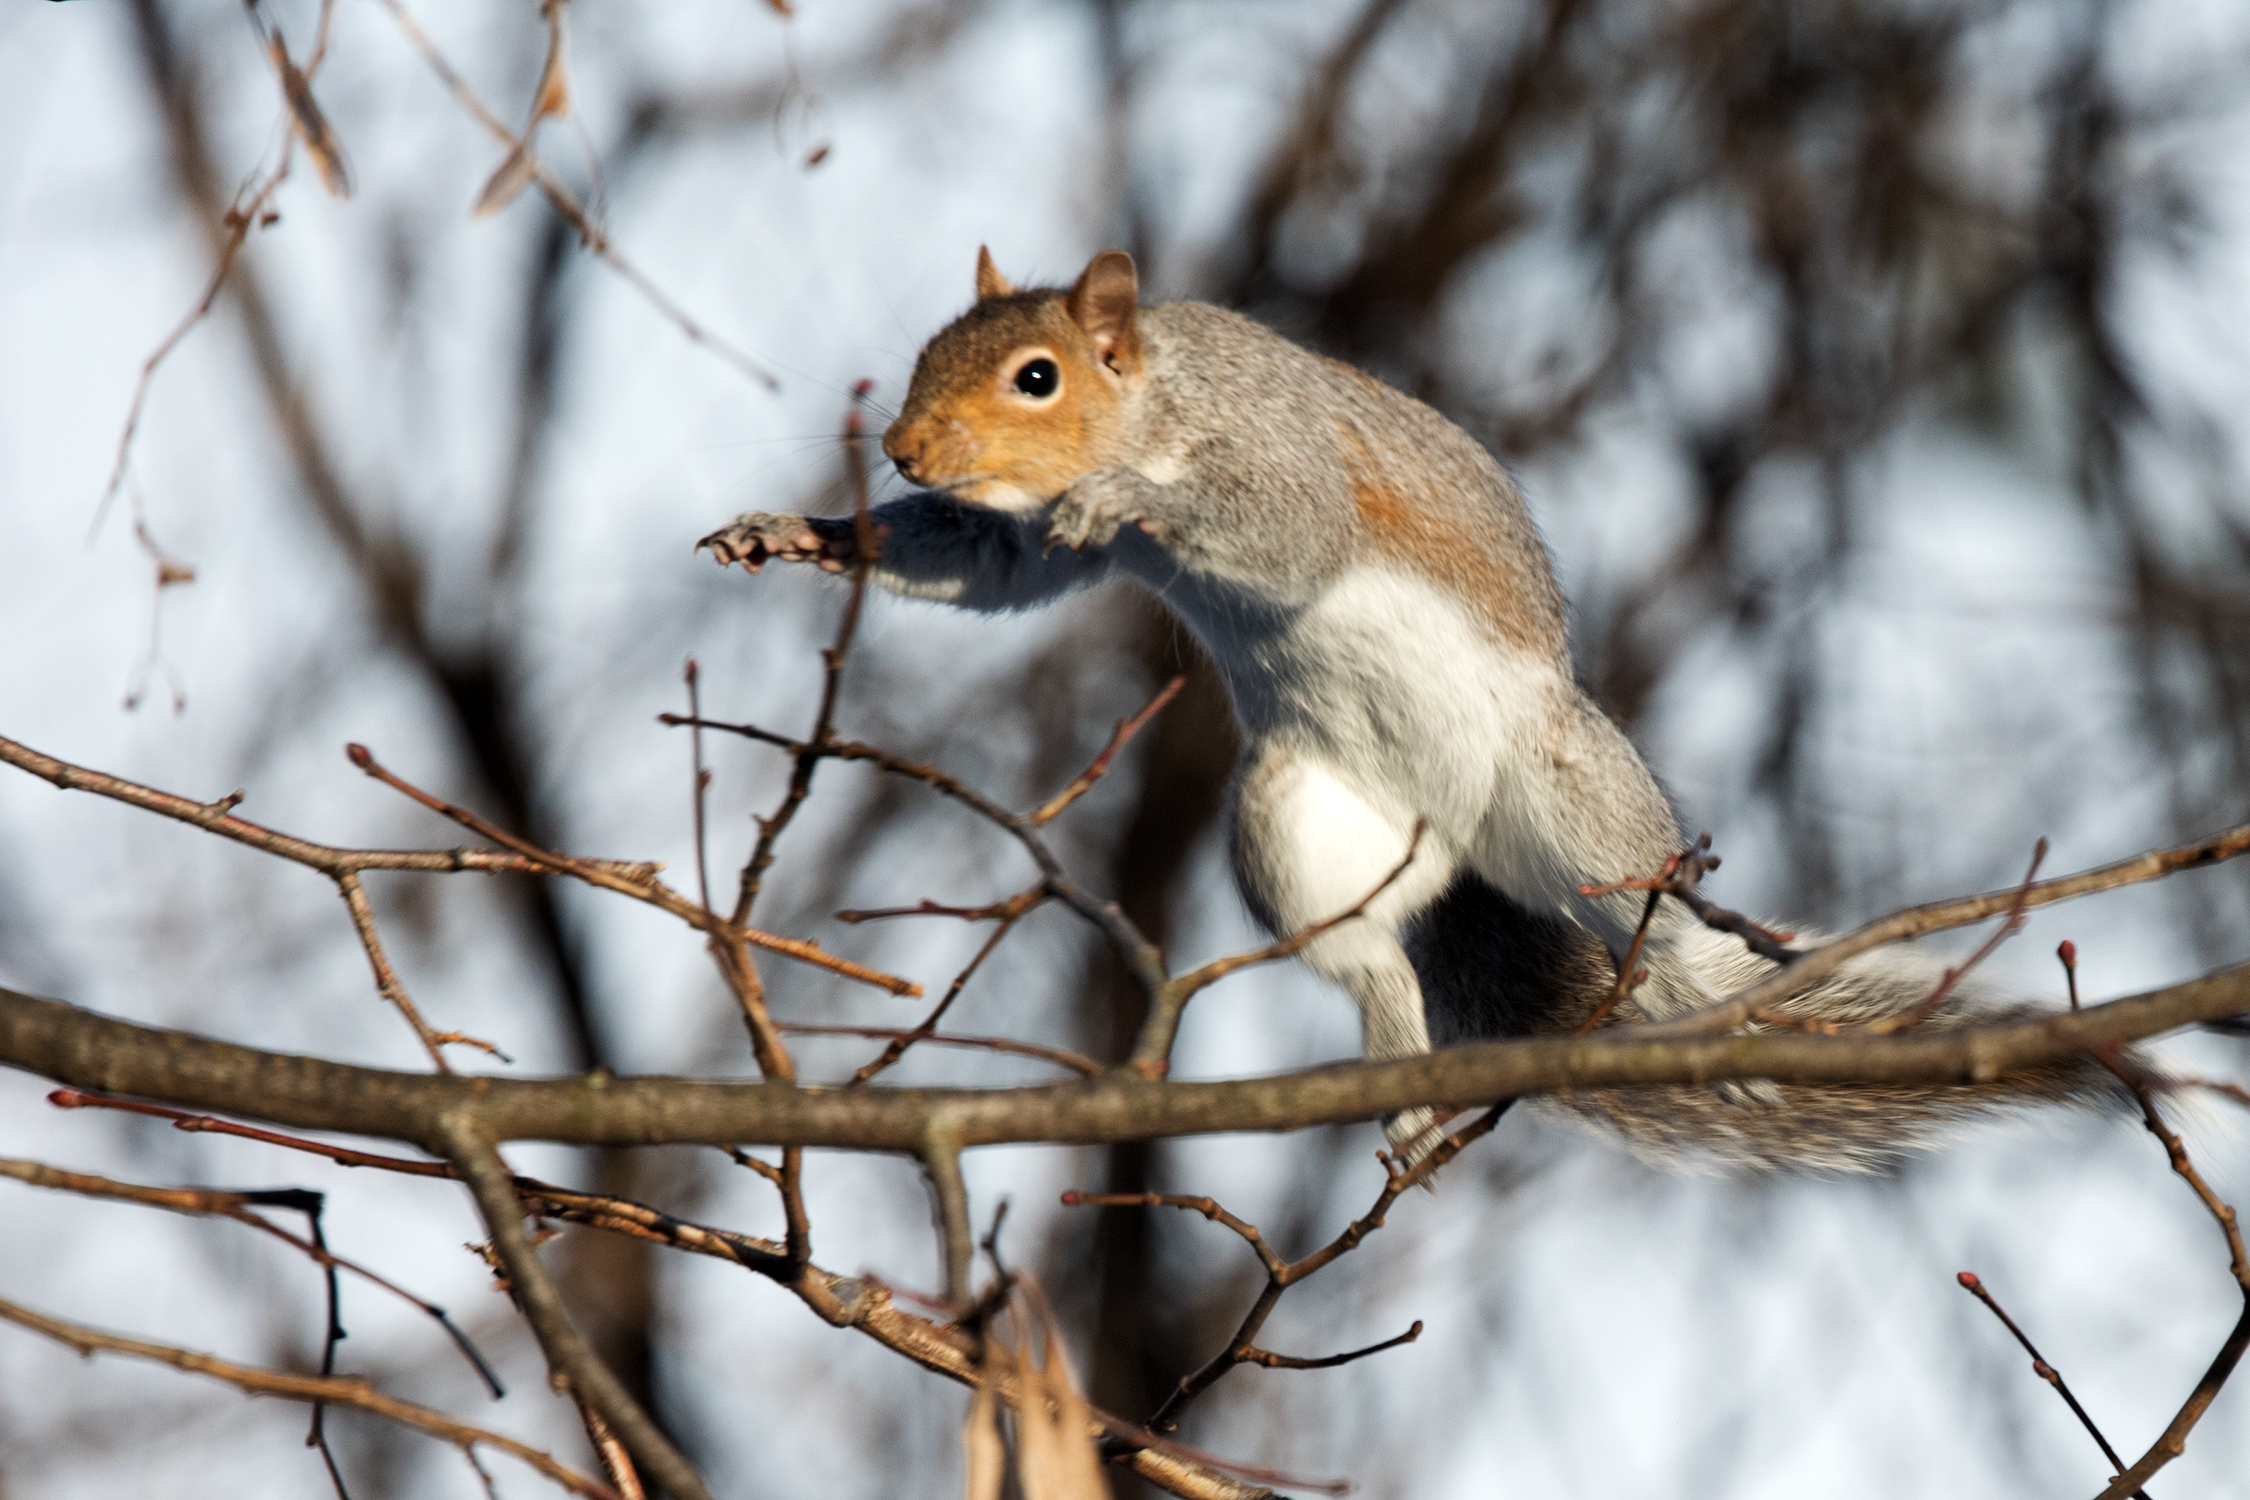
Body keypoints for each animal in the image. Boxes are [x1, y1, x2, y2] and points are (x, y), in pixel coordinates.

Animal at [701, 247, 2106, 1171]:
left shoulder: (1281, 458)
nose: (904, 454)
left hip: (1575, 804)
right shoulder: (1031, 546)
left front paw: (1124, 500)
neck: (1159, 402)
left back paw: (1686, 996)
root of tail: (1460, 847)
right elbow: (998, 563)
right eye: (931, 353)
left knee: (1646, 938)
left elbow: (1289, 534)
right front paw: (807, 533)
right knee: (1372, 961)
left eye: (1037, 377)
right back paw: (1397, 1069)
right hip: (1302, 820)